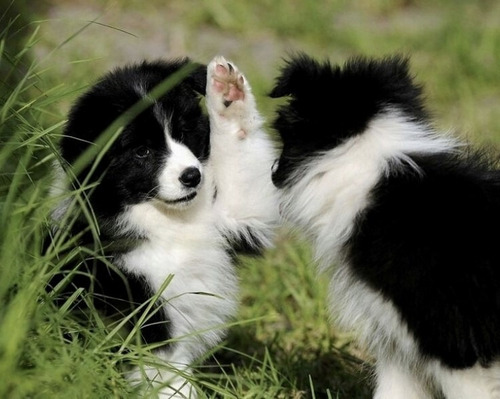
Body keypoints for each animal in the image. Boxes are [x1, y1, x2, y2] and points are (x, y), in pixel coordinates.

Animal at [49, 57, 278, 399]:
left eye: (183, 132)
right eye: (142, 151)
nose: (192, 177)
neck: (166, 220)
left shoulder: (230, 218)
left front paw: (227, 94)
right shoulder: (142, 317)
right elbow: (168, 374)